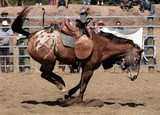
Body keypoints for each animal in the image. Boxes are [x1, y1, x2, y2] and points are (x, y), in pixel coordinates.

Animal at [11, 6, 143, 106]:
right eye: (137, 60)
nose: (135, 76)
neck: (100, 45)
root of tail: (32, 35)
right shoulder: (89, 68)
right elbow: (83, 85)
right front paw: (79, 101)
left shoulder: (86, 68)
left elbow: (80, 83)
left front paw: (70, 94)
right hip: (50, 61)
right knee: (45, 74)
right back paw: (61, 86)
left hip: (47, 62)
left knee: (45, 73)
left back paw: (61, 82)